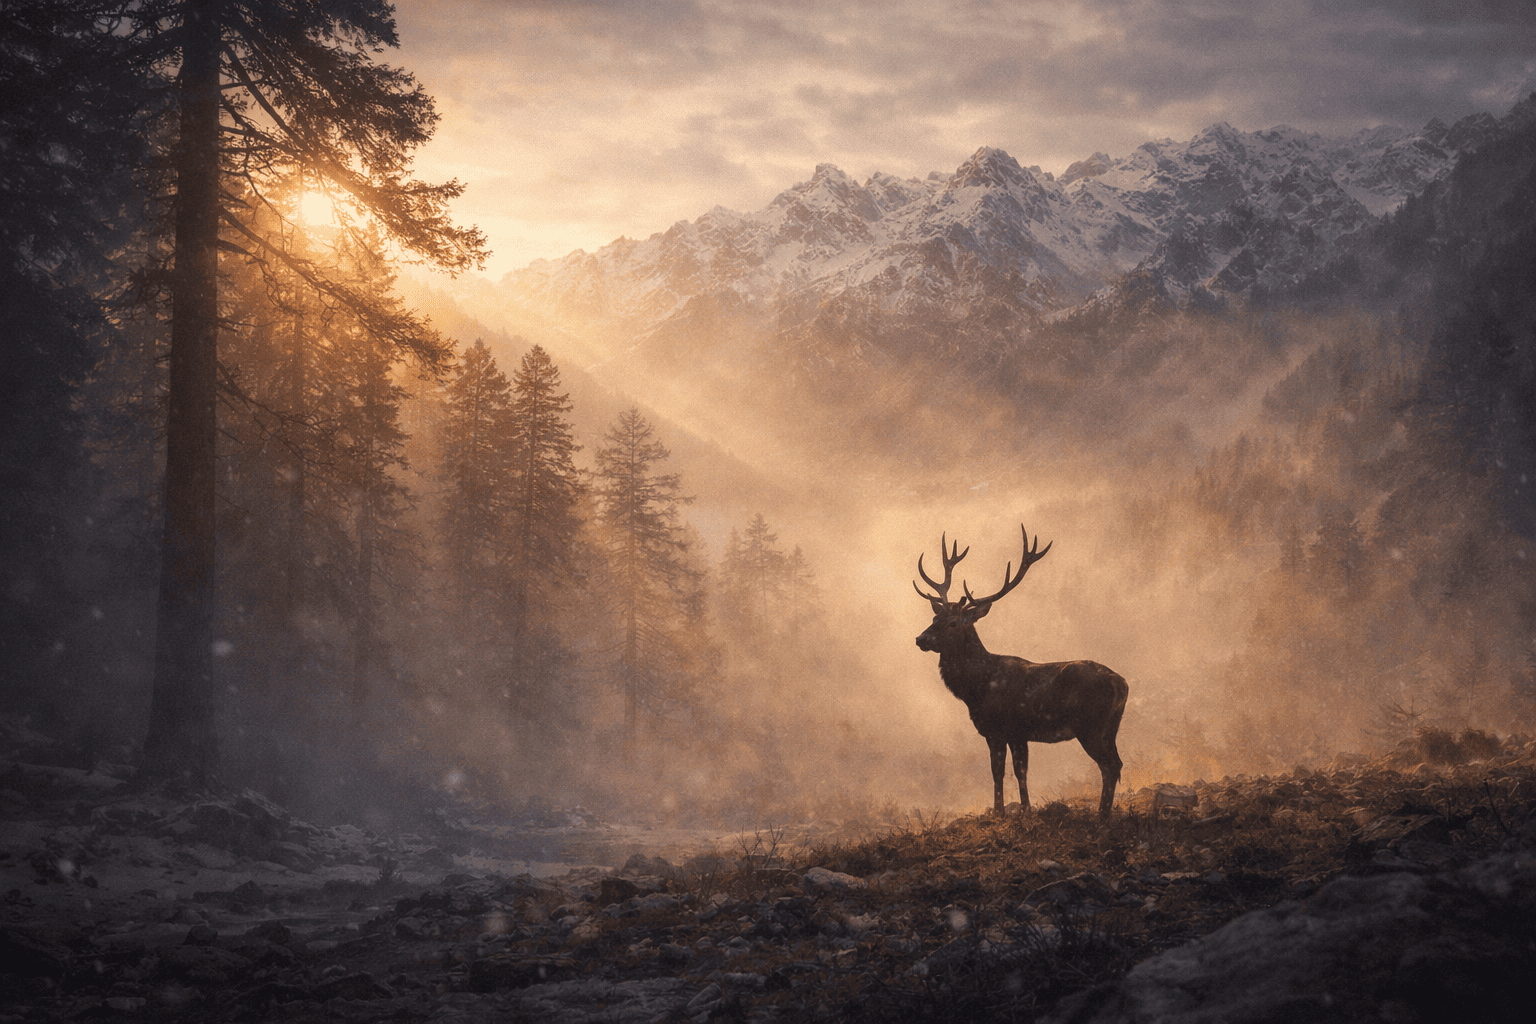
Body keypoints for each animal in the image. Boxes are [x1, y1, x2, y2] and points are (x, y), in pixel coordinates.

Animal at [913, 526, 1128, 820]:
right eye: (935, 618)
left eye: (954, 622)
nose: (920, 639)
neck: (977, 688)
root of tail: (1122, 684)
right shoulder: (1018, 734)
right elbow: (1020, 772)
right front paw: (1025, 810)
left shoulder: (1001, 729)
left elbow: (1001, 772)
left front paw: (1000, 812)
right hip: (1110, 728)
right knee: (1117, 763)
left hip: (1091, 726)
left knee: (1110, 766)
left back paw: (1102, 816)